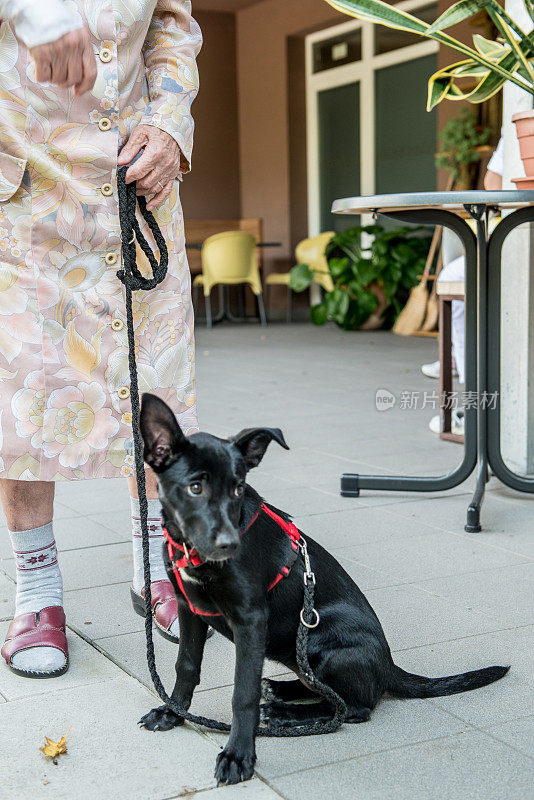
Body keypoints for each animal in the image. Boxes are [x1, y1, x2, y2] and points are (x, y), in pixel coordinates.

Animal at [138, 396, 510, 788]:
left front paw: (238, 756)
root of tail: (389, 665)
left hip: (325, 640)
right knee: (319, 687)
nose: (229, 545)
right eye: (195, 488)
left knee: (353, 707)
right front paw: (172, 713)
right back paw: (281, 694)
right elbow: (186, 665)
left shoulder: (250, 620)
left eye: (238, 488)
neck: (192, 551)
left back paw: (288, 715)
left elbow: (243, 693)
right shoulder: (190, 608)